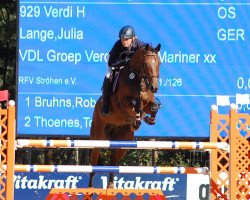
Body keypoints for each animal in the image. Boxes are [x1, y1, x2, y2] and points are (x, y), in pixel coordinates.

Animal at [89, 43, 161, 188]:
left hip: (123, 143)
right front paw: (137, 119)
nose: (154, 87)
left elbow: (154, 107)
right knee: (93, 165)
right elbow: (135, 104)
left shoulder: (148, 103)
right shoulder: (123, 102)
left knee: (113, 163)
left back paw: (110, 186)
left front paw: (149, 119)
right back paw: (89, 188)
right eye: (146, 64)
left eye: (159, 63)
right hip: (98, 138)